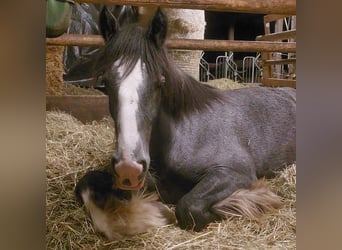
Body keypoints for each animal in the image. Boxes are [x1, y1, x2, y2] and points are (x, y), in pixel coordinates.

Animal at [94, 6, 296, 232]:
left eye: (160, 82)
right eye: (105, 83)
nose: (128, 168)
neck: (187, 131)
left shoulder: (235, 172)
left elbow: (187, 207)